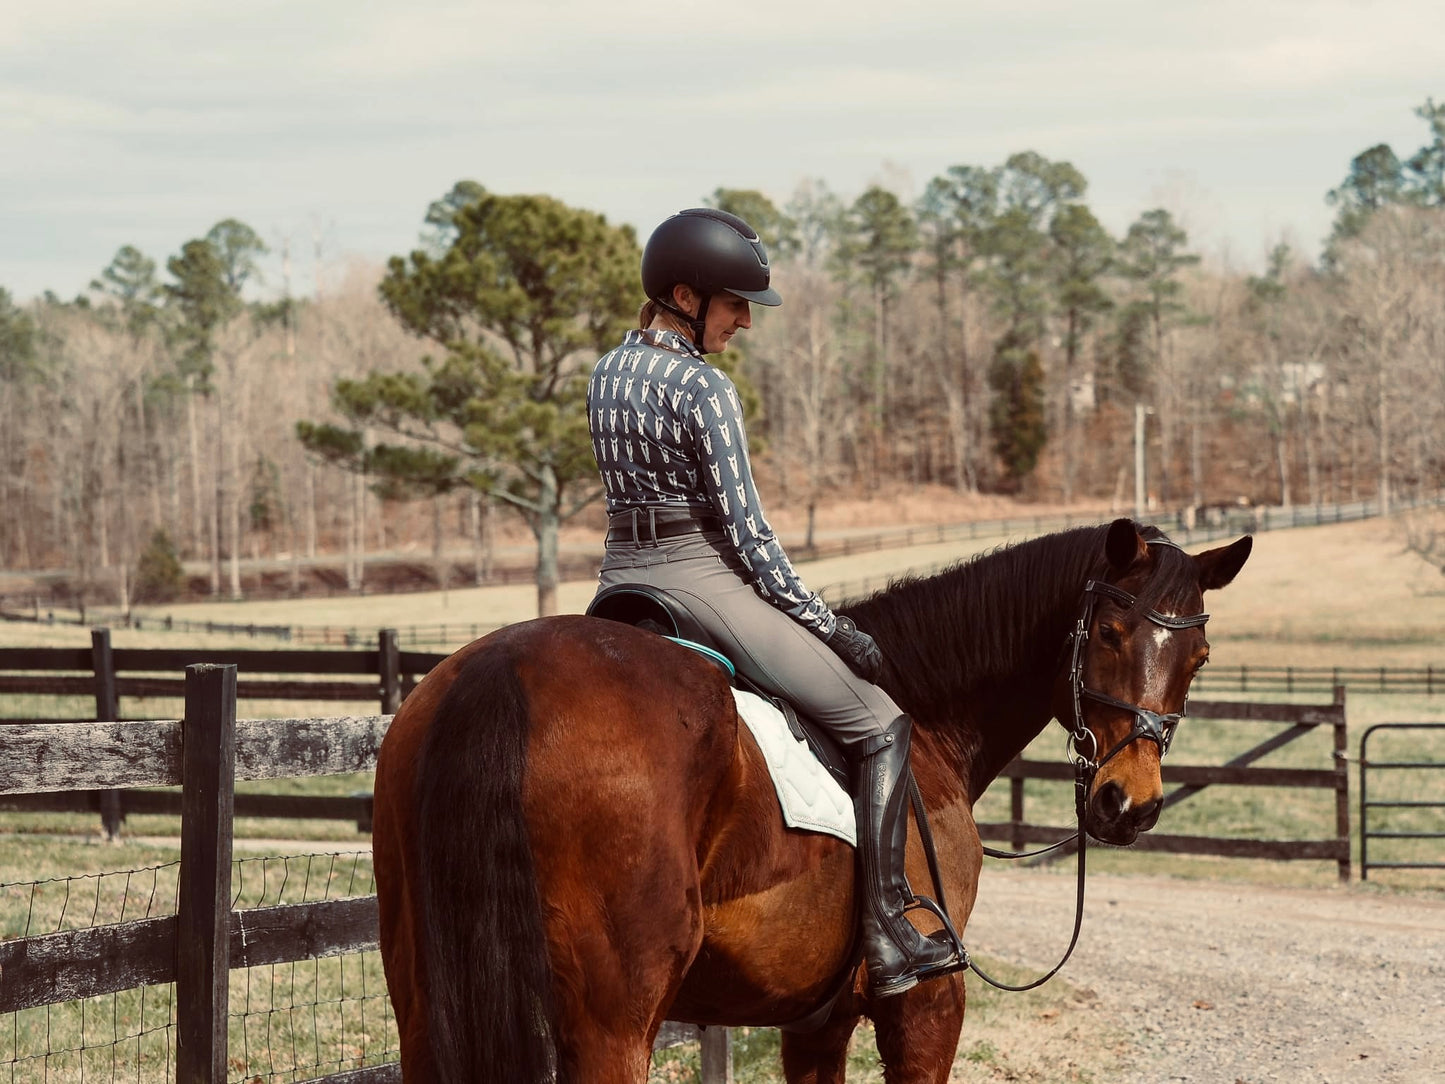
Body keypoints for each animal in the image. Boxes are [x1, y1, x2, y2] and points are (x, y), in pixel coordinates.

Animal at [372, 523, 1254, 1081]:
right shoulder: (926, 1005)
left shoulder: (813, 1021)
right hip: (610, 1028)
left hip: (426, 1008)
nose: (1127, 805)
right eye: (1107, 633)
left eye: (1201, 656)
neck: (921, 710)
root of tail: (505, 671)